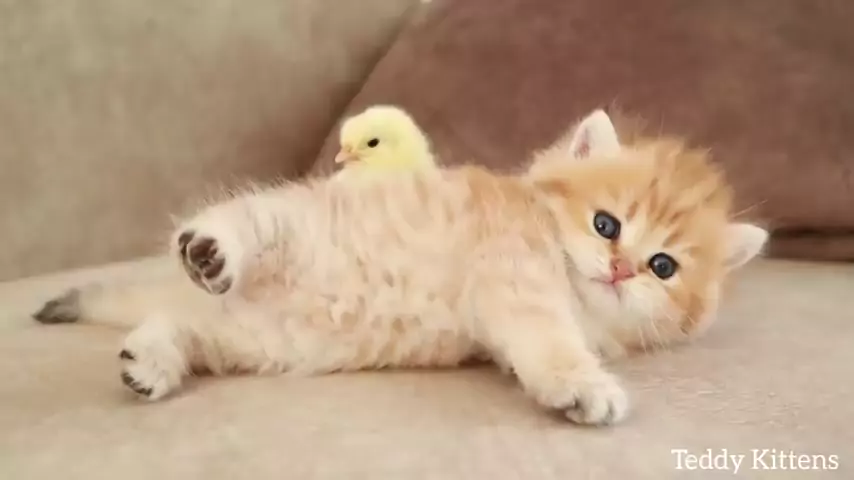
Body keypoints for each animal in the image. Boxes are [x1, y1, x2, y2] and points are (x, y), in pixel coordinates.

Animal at [33, 110, 768, 426]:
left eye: (663, 266)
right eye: (606, 225)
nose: (620, 270)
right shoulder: (516, 280)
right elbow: (553, 342)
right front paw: (584, 386)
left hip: (246, 339)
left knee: (175, 321)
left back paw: (151, 363)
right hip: (290, 224)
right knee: (243, 219)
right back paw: (211, 250)